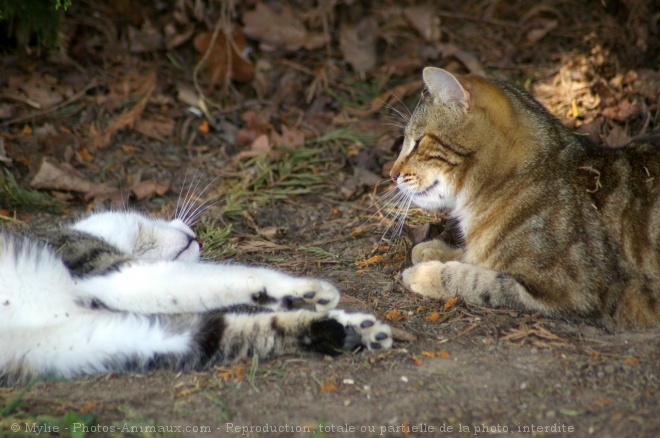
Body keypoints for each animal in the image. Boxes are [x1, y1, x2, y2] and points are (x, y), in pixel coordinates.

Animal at [0, 209, 392, 384]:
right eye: (144, 220)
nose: (195, 233)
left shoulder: (121, 336)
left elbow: (238, 331)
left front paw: (351, 326)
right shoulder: (110, 271)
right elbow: (229, 274)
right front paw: (305, 288)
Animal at [392, 66, 660, 330]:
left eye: (418, 143)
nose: (392, 174)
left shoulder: (568, 292)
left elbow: (476, 278)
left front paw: (426, 274)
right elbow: (475, 257)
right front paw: (437, 251)